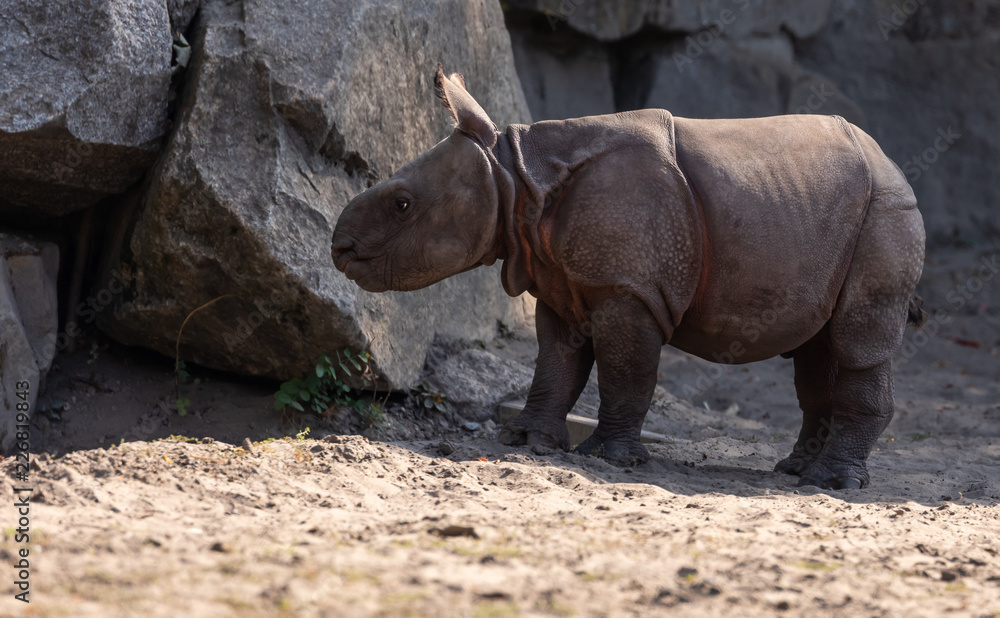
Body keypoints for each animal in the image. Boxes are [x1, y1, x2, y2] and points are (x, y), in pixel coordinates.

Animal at [332, 65, 925, 490]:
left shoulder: (627, 288)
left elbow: (625, 369)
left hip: (886, 210)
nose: (340, 248)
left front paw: (610, 459)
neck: (514, 176)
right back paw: (795, 471)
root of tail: (890, 161)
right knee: (817, 347)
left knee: (856, 341)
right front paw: (524, 441)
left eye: (402, 203)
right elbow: (556, 364)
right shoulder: (562, 279)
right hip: (832, 210)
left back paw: (832, 484)